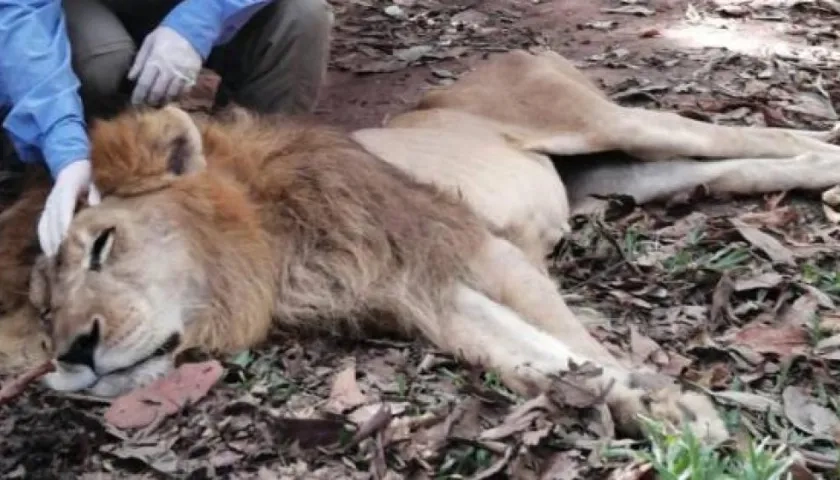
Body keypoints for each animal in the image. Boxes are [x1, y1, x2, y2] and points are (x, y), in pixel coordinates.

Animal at [4, 49, 840, 445]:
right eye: (44, 314)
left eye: (102, 245)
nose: (74, 350)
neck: (273, 248)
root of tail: (510, 54)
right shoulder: (420, 293)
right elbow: (536, 361)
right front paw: (637, 402)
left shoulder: (469, 247)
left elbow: (576, 341)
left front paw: (671, 402)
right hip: (622, 175)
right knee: (739, 166)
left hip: (607, 122)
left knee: (757, 135)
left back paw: (828, 163)